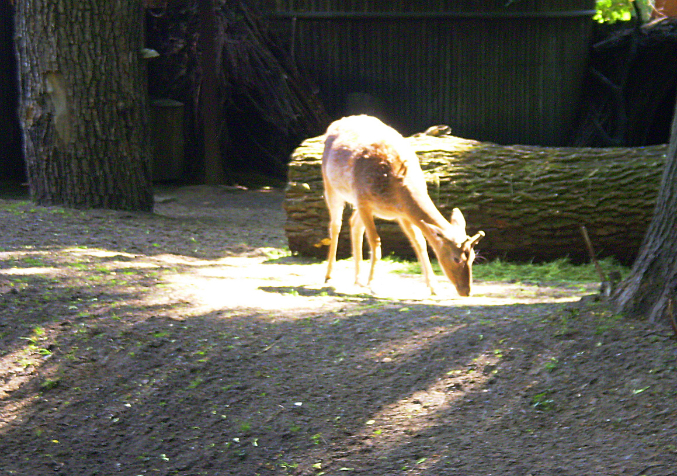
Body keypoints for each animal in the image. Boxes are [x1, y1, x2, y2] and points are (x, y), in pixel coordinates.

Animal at [321, 115, 485, 297]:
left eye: (473, 257)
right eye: (456, 259)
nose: (466, 291)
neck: (395, 187)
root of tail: (337, 122)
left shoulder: (402, 214)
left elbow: (420, 242)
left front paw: (434, 287)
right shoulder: (363, 199)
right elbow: (375, 241)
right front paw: (373, 284)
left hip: (360, 204)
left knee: (354, 223)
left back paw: (358, 279)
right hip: (331, 186)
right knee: (336, 225)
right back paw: (329, 276)